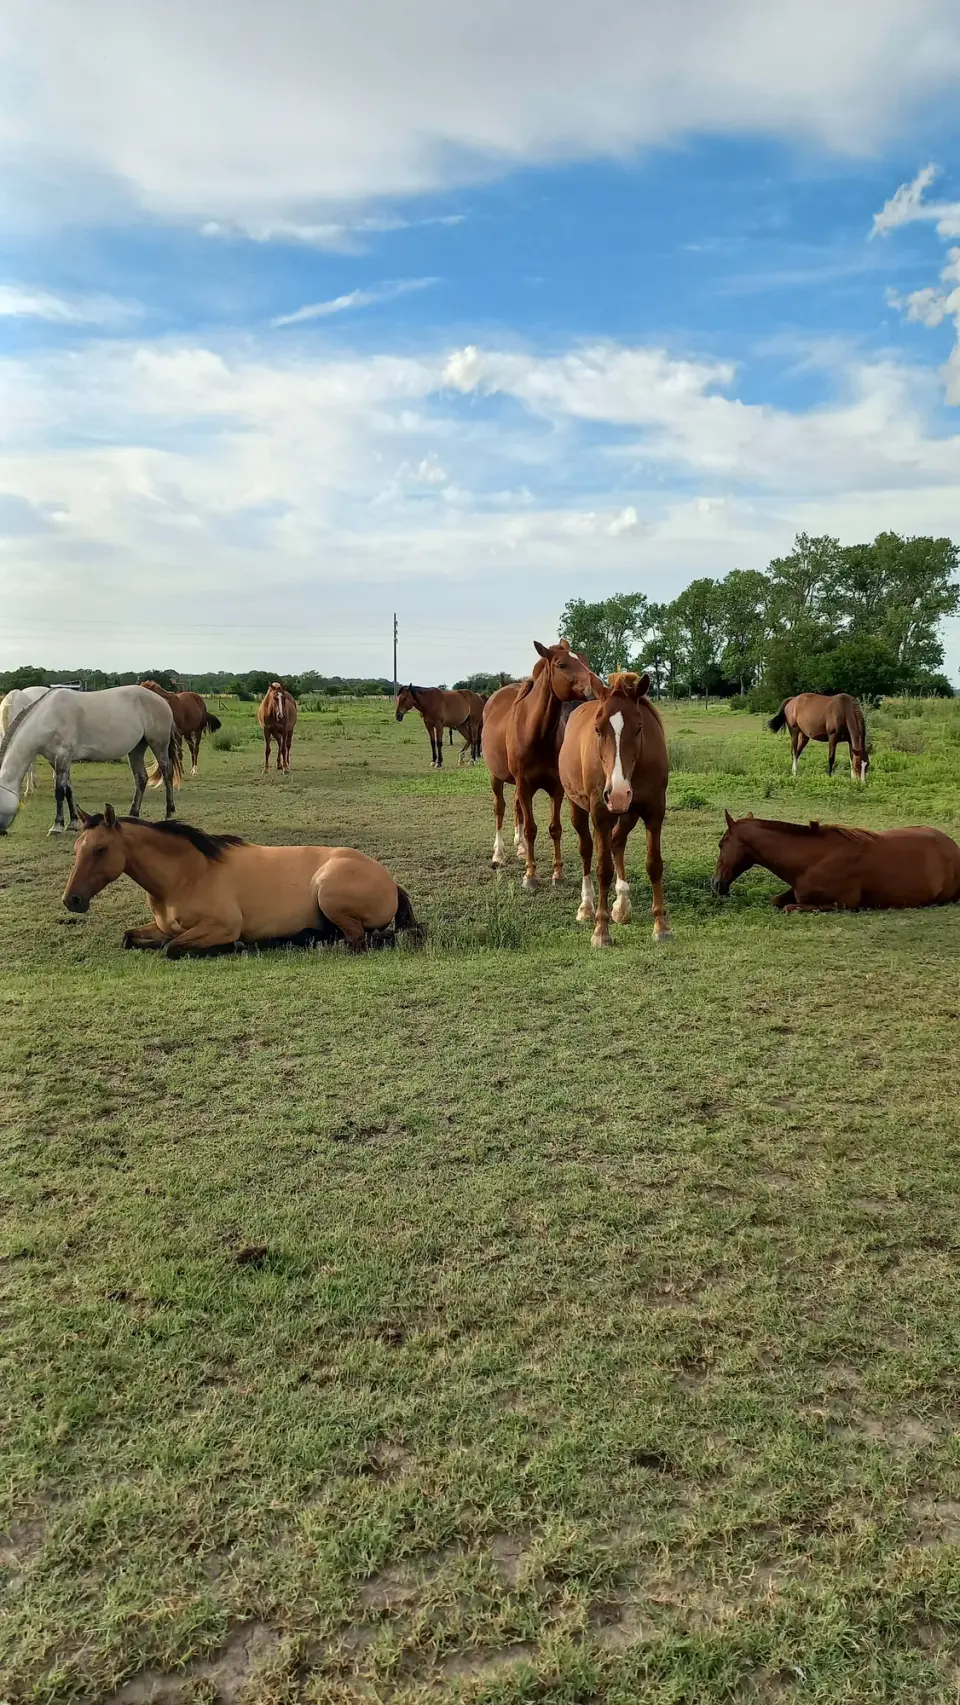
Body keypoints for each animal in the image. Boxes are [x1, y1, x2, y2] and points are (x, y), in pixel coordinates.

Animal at [0, 687, 181, 836]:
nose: (2, 833)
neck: (49, 717)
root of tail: (162, 700)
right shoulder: (57, 760)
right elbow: (68, 790)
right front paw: (72, 823)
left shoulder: (62, 756)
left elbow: (59, 791)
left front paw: (57, 826)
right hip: (137, 748)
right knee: (141, 778)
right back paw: (133, 815)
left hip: (158, 744)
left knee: (166, 773)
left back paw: (169, 813)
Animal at [62, 807, 425, 956]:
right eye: (77, 847)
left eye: (100, 849)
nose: (72, 900)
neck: (188, 874)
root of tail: (391, 882)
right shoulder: (164, 927)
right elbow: (132, 937)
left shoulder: (221, 926)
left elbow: (172, 948)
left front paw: (234, 947)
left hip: (329, 892)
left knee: (357, 941)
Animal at [481, 640, 598, 891]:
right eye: (562, 664)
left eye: (584, 659)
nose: (597, 686)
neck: (536, 733)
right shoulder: (525, 786)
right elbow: (530, 828)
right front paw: (530, 875)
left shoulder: (556, 789)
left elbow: (555, 829)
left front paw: (558, 874)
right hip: (496, 777)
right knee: (500, 808)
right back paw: (499, 855)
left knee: (516, 807)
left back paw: (520, 848)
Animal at [559, 671, 672, 946]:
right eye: (598, 729)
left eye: (639, 727)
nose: (618, 793)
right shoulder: (601, 814)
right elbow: (603, 869)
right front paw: (601, 931)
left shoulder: (654, 812)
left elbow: (654, 864)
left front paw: (661, 926)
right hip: (579, 808)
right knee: (587, 850)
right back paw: (586, 907)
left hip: (628, 813)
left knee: (617, 842)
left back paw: (621, 905)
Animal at [712, 811, 960, 911]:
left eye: (721, 844)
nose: (715, 884)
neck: (813, 860)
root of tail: (953, 847)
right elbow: (777, 901)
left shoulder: (841, 904)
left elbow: (790, 908)